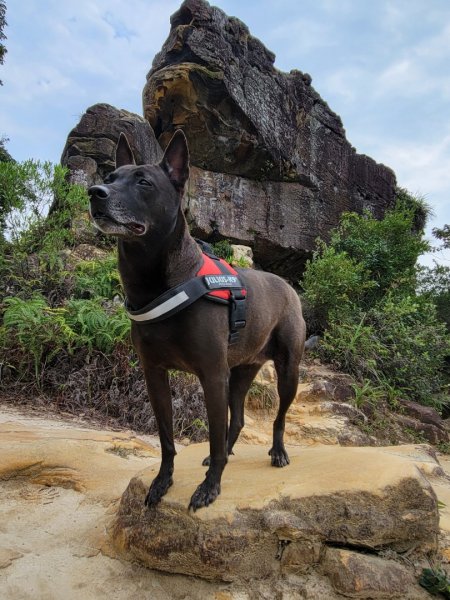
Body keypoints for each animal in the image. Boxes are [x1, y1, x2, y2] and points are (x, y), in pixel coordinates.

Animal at [88, 132, 306, 510]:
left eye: (144, 182)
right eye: (110, 177)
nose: (95, 192)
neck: (162, 281)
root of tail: (287, 286)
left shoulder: (212, 376)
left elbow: (214, 438)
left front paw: (209, 488)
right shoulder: (156, 376)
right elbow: (167, 439)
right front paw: (163, 482)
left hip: (286, 371)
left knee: (278, 417)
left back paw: (278, 452)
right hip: (240, 374)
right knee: (238, 421)